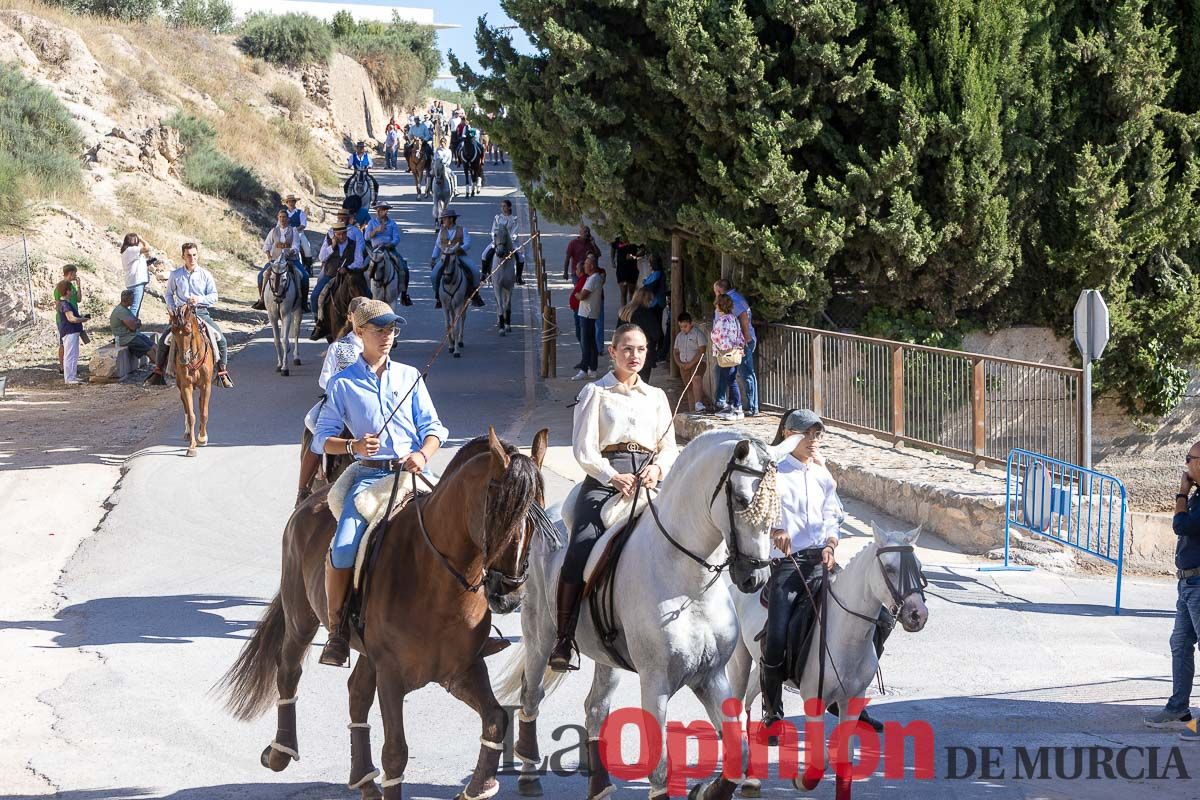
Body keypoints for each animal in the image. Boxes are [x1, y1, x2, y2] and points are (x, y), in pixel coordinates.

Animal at [169, 303, 213, 455]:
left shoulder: (206, 385)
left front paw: (203, 438)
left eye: (188, 331)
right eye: (173, 331)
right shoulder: (186, 386)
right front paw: (192, 446)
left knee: (200, 404)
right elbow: (191, 415)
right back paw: (188, 432)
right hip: (180, 386)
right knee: (186, 408)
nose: (183, 359)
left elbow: (204, 412)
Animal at [220, 429, 552, 800]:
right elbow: (395, 752)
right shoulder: (392, 675)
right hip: (301, 618)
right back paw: (281, 752)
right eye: (499, 508)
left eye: (538, 513)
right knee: (289, 670)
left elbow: (495, 719)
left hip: (367, 653)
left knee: (356, 693)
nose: (509, 592)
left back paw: (364, 780)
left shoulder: (461, 670)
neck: (435, 578)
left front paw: (478, 786)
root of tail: (309, 501)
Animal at [492, 434, 782, 800]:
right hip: (539, 636)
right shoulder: (655, 682)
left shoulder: (711, 676)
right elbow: (659, 767)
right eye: (742, 499)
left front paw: (705, 791)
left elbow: (738, 752)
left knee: (595, 708)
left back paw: (600, 786)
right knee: (531, 695)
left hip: (606, 658)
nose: (755, 578)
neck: (689, 585)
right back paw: (529, 774)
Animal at [720, 515, 926, 796]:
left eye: (918, 566)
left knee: (752, 699)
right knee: (740, 709)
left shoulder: (852, 701)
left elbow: (845, 764)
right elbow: (821, 761)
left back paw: (752, 777)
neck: (845, 636)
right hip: (740, 661)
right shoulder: (813, 700)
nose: (918, 615)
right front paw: (800, 779)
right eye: (891, 568)